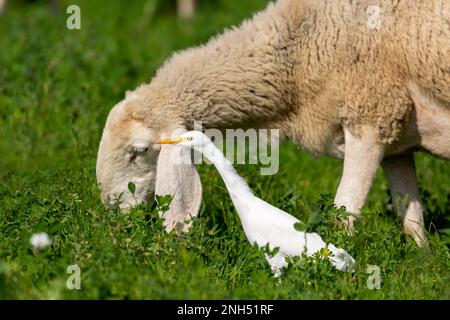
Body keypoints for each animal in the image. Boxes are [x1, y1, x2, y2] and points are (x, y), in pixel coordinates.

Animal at [97, 0, 450, 248]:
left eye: (139, 151)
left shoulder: (371, 117)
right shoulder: (396, 139)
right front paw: (423, 260)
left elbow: (342, 215)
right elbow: (412, 221)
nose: (110, 214)